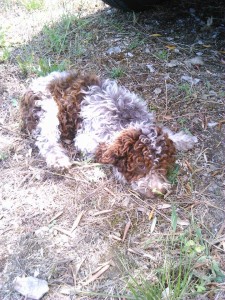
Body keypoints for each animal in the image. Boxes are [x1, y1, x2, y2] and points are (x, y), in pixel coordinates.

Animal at [20, 70, 197, 197]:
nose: (159, 191)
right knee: (46, 139)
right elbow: (105, 153)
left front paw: (184, 139)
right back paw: (58, 160)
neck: (124, 118)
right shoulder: (86, 138)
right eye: (140, 166)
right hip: (46, 108)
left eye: (162, 165)